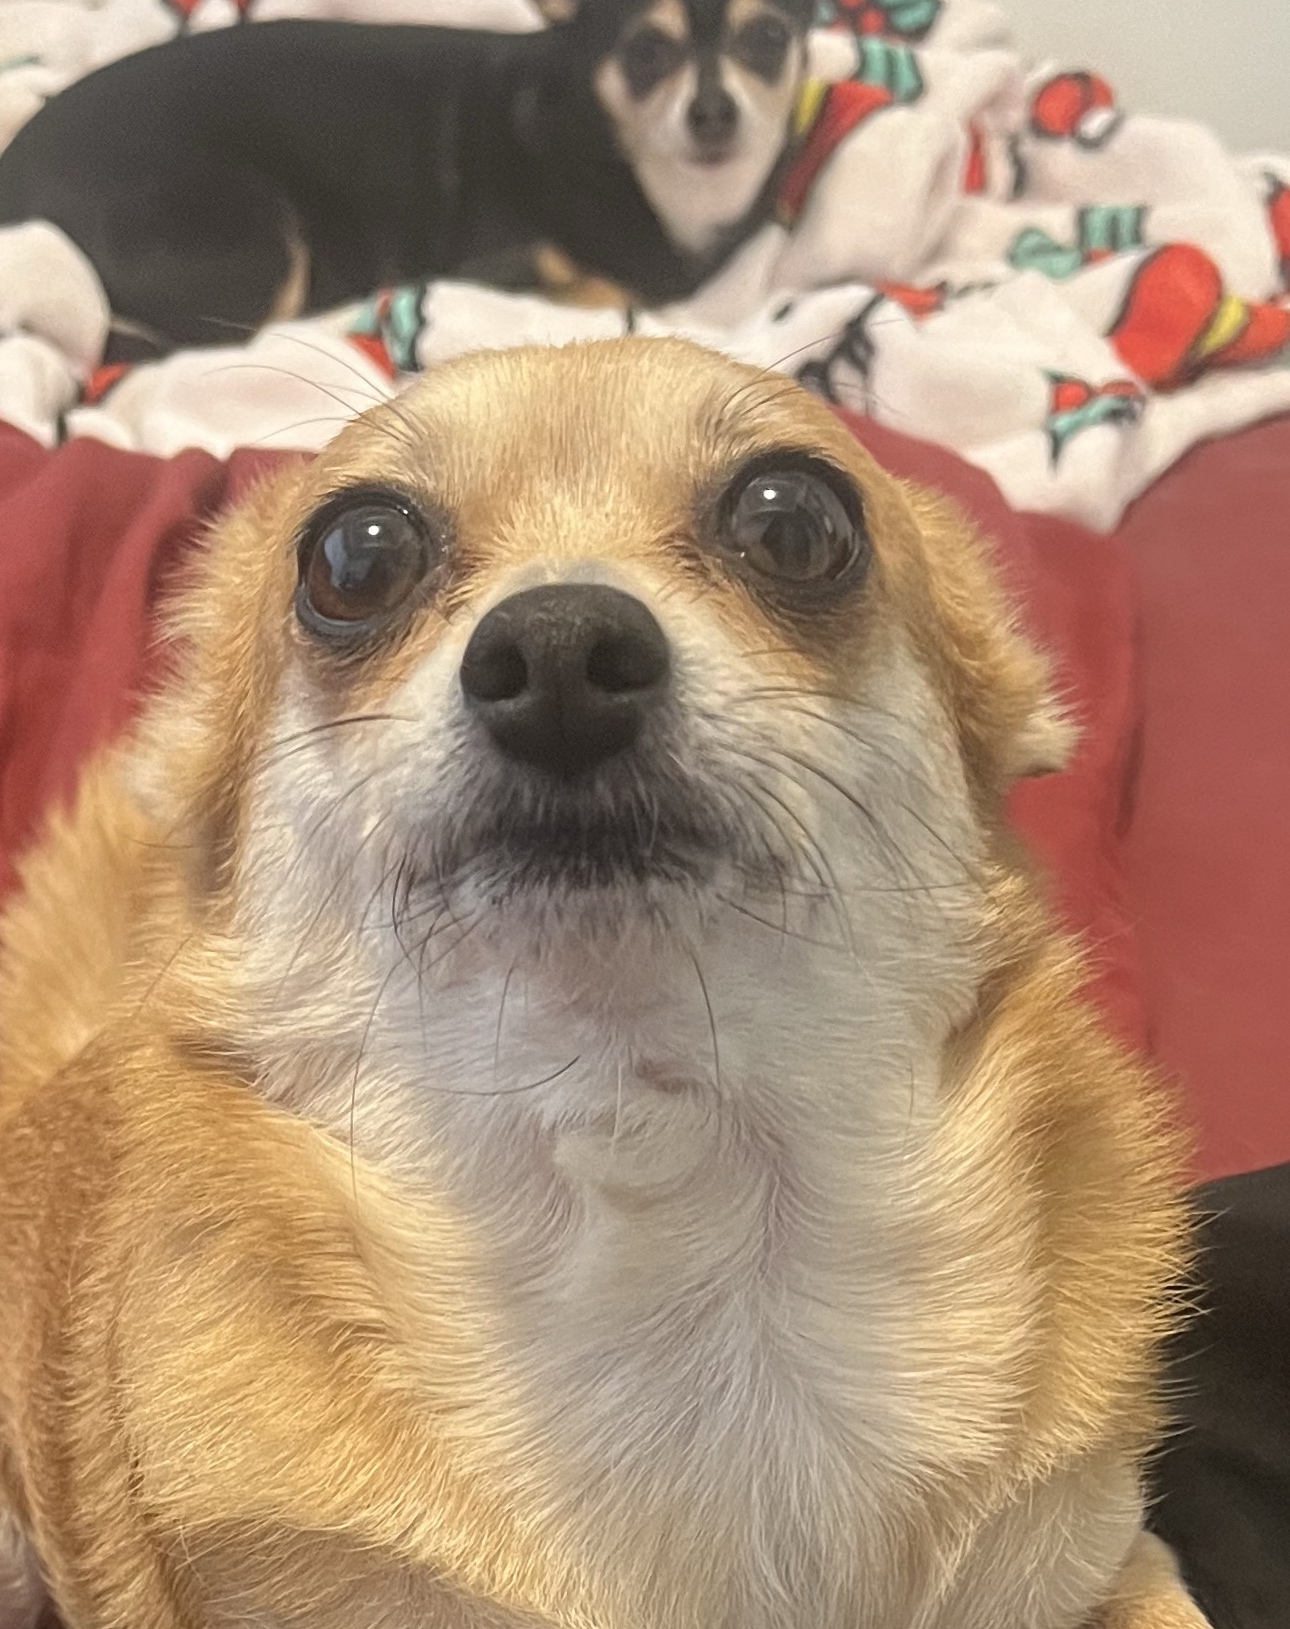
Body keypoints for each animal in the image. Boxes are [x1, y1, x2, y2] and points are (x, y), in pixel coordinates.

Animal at [0, 1, 814, 361]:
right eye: (645, 52)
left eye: (770, 39)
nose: (714, 111)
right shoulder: (501, 265)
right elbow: (610, 291)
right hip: (257, 246)